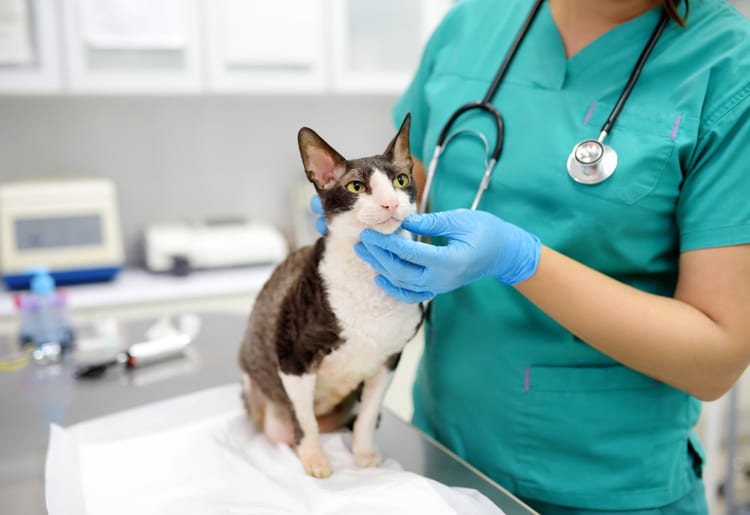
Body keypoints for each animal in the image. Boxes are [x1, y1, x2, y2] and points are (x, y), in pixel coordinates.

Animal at [239, 114, 424, 480]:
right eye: (356, 187)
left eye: (400, 180)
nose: (391, 203)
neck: (367, 278)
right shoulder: (293, 357)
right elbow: (305, 421)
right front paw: (315, 459)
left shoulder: (388, 360)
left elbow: (368, 415)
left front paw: (364, 454)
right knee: (287, 426)